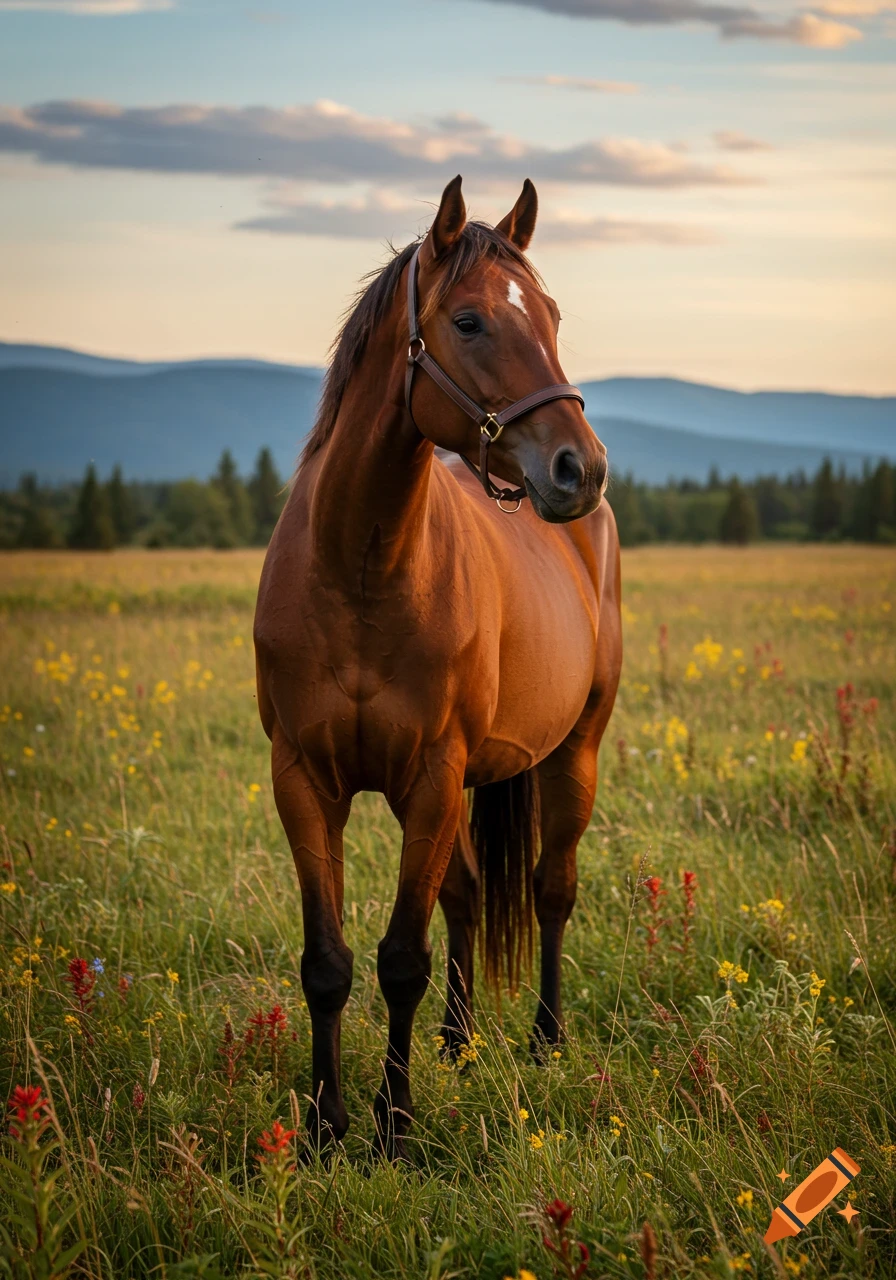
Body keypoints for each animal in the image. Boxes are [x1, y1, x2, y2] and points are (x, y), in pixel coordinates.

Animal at [254, 175, 622, 1158]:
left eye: (553, 315)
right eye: (468, 322)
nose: (580, 469)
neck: (360, 570)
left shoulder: (429, 775)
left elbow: (400, 960)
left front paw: (393, 1125)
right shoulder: (305, 780)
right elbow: (329, 963)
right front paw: (326, 1126)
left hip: (572, 752)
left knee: (550, 890)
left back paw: (543, 1041)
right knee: (464, 895)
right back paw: (459, 1046)